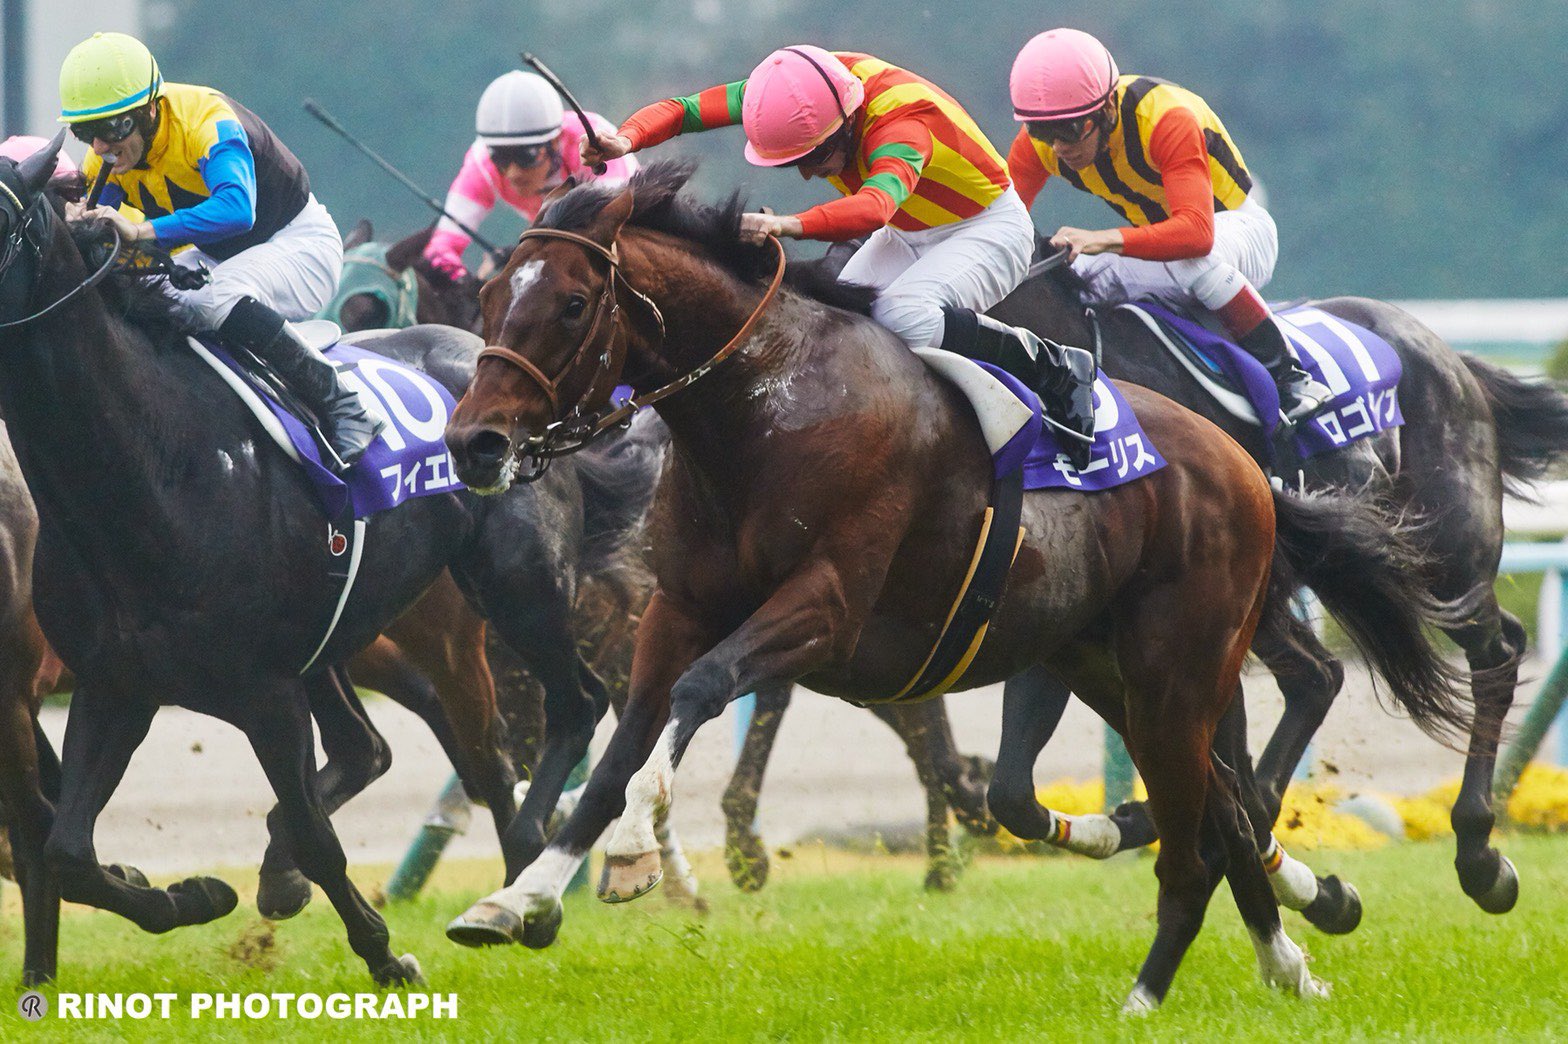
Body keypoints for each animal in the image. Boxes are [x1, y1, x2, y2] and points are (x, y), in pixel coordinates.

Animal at [0, 135, 657, 985]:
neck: (151, 462)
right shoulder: (116, 683)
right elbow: (69, 852)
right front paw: (195, 894)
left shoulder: (264, 691)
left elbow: (317, 836)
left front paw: (386, 958)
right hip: (345, 634)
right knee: (373, 747)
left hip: (513, 587)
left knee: (562, 712)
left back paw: (522, 889)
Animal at [439, 162, 1470, 1009]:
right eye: (488, 294)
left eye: (574, 303)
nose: (473, 442)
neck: (767, 411)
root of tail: (1247, 468)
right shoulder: (678, 606)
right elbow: (623, 744)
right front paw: (519, 898)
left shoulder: (825, 608)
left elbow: (697, 693)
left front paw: (626, 856)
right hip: (1111, 667)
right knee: (1218, 798)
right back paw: (1285, 954)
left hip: (1181, 663)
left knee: (1224, 794)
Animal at [980, 255, 1568, 914]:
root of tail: (1450, 355)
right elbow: (1010, 790)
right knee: (1319, 678)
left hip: (1444, 557)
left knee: (1492, 651)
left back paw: (1479, 856)